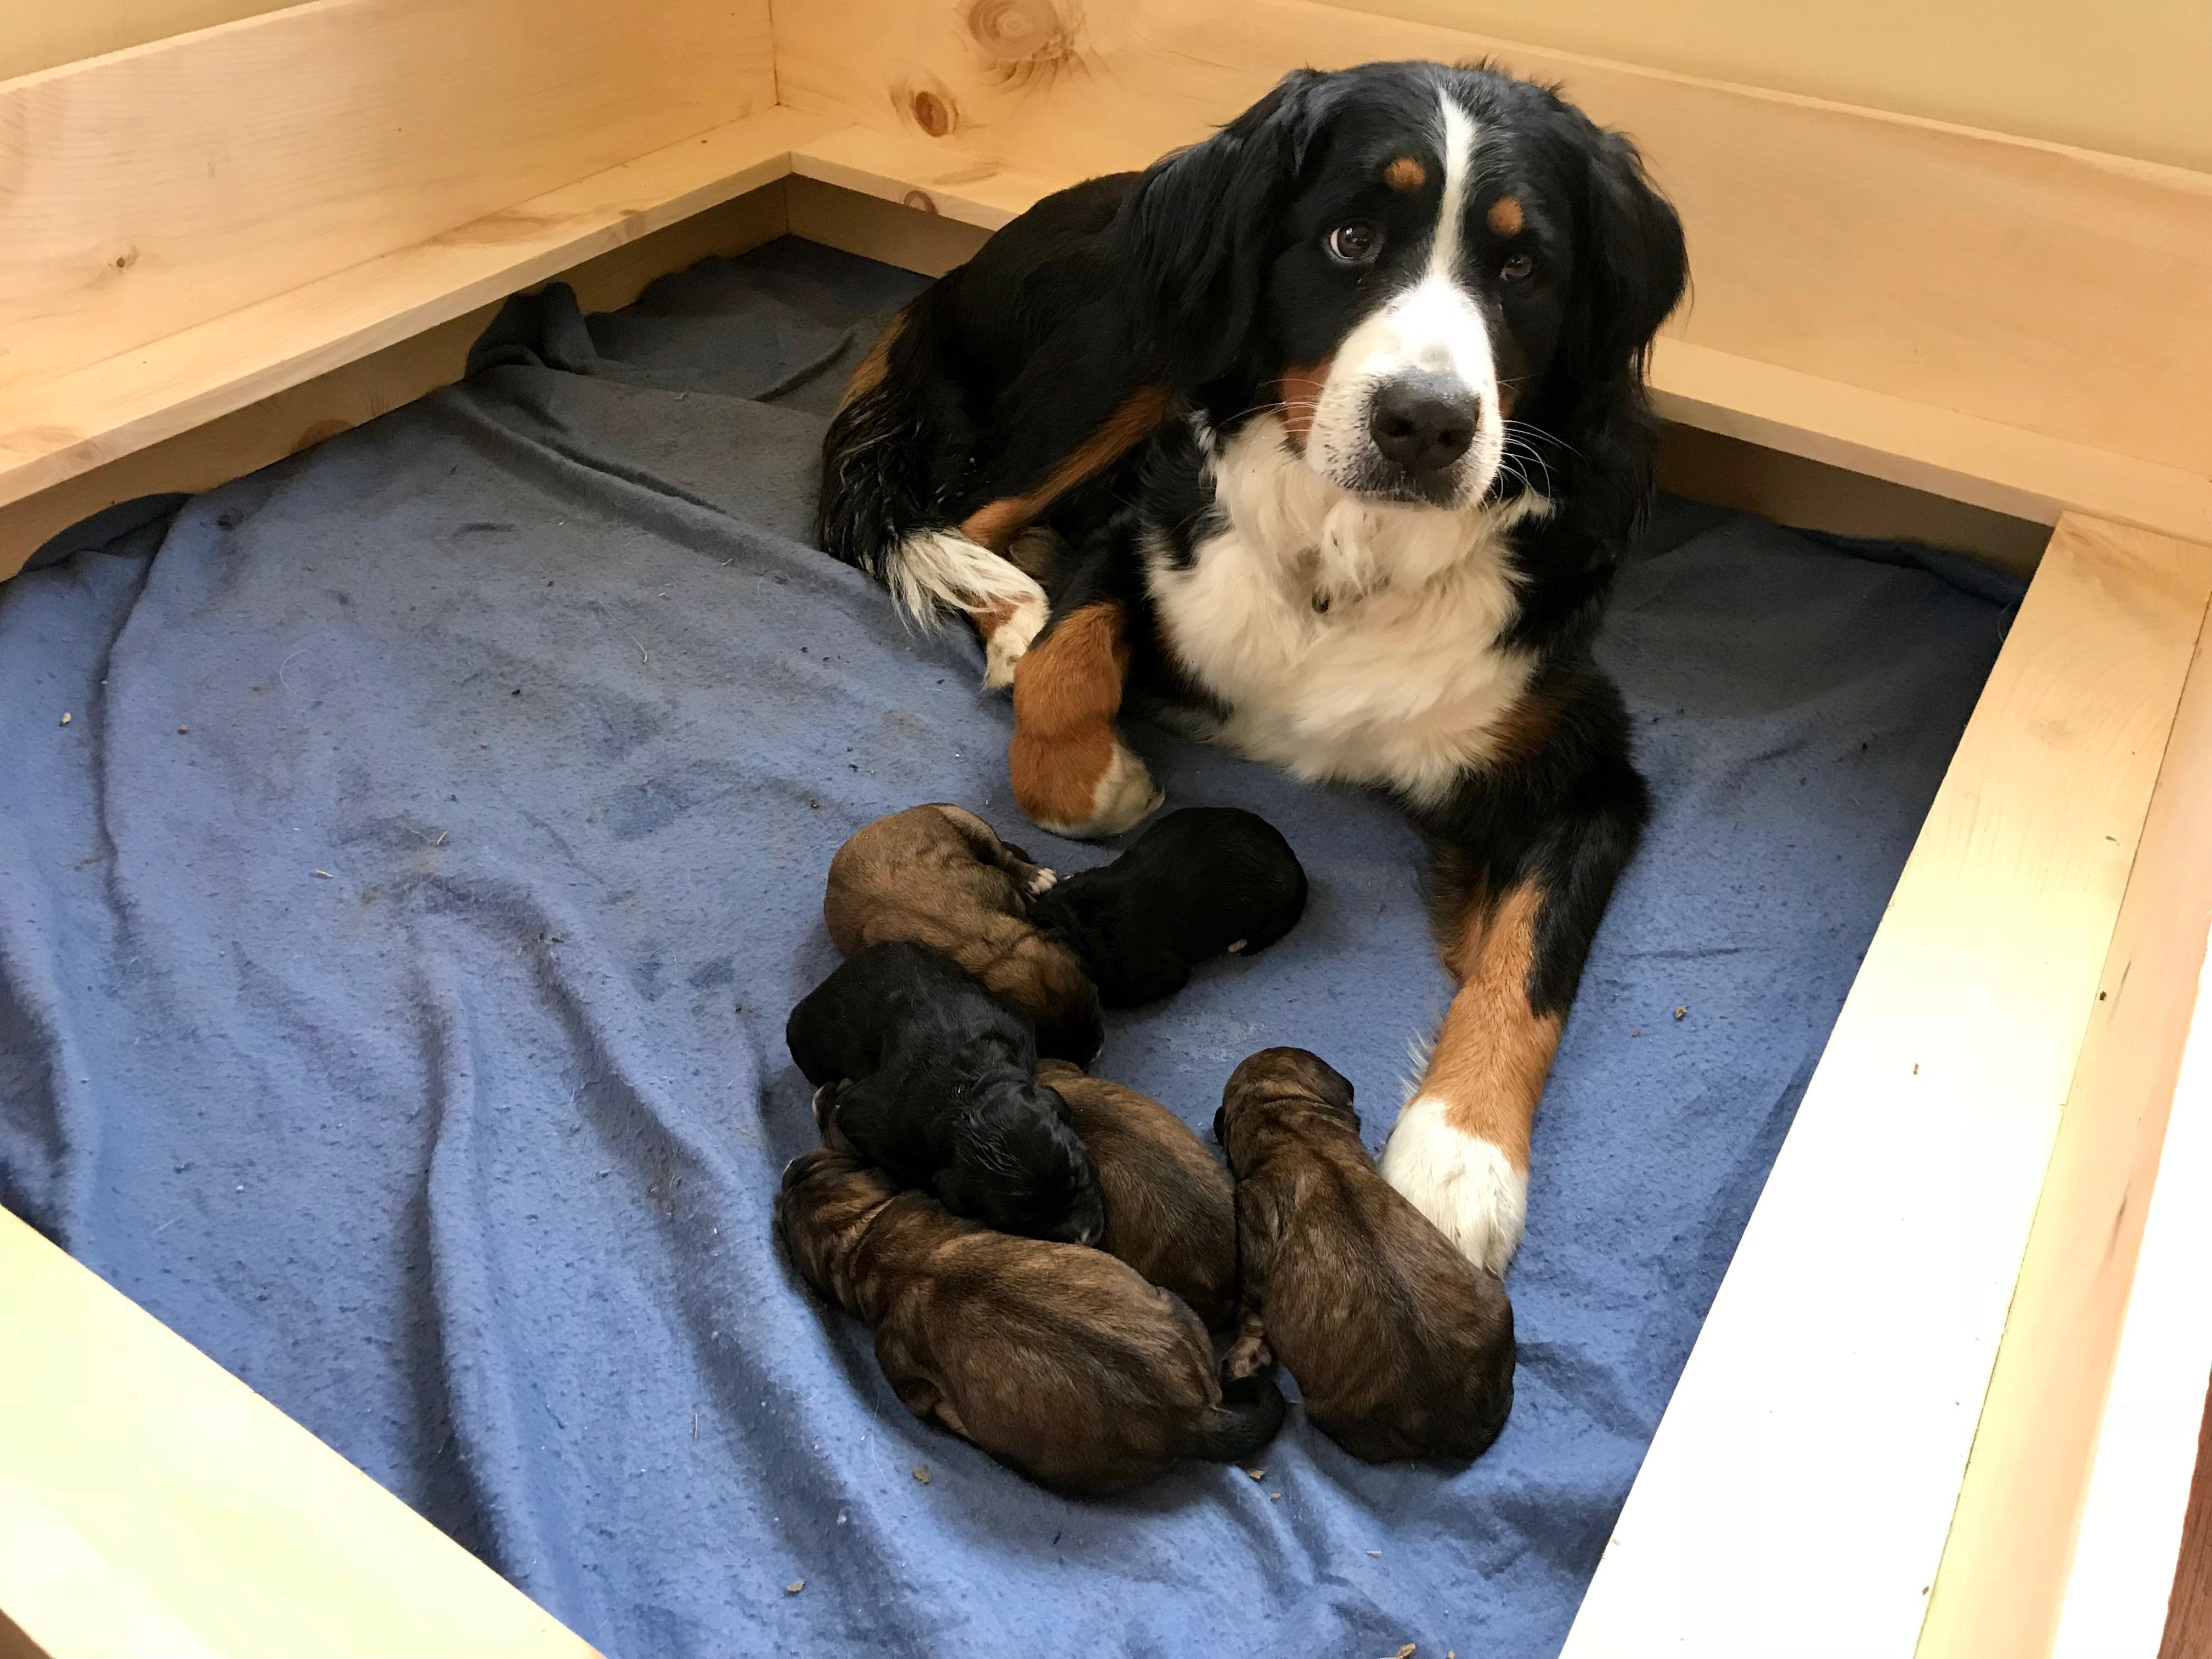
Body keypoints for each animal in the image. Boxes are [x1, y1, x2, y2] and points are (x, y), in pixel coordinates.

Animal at [784, 941, 1105, 1245]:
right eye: (1024, 1221)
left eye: (1077, 1173)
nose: (1086, 1235)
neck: (965, 1091)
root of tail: (833, 978)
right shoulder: (865, 1117)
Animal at [823, 803, 1105, 1062]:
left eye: (1094, 1006)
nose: (1095, 1053)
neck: (993, 946)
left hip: (966, 821)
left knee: (1001, 854)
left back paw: (1034, 876)